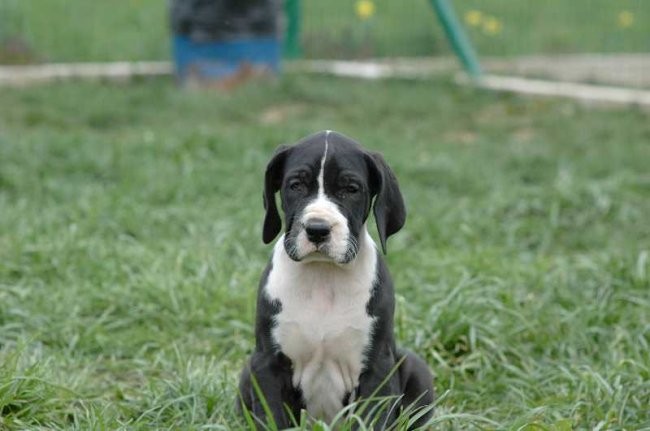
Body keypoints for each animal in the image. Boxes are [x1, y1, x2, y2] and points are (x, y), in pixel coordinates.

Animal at [237, 131, 430, 428]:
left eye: (351, 189)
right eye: (295, 185)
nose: (317, 229)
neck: (323, 277)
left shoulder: (377, 367)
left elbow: (371, 419)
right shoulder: (267, 364)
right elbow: (273, 417)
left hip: (415, 367)